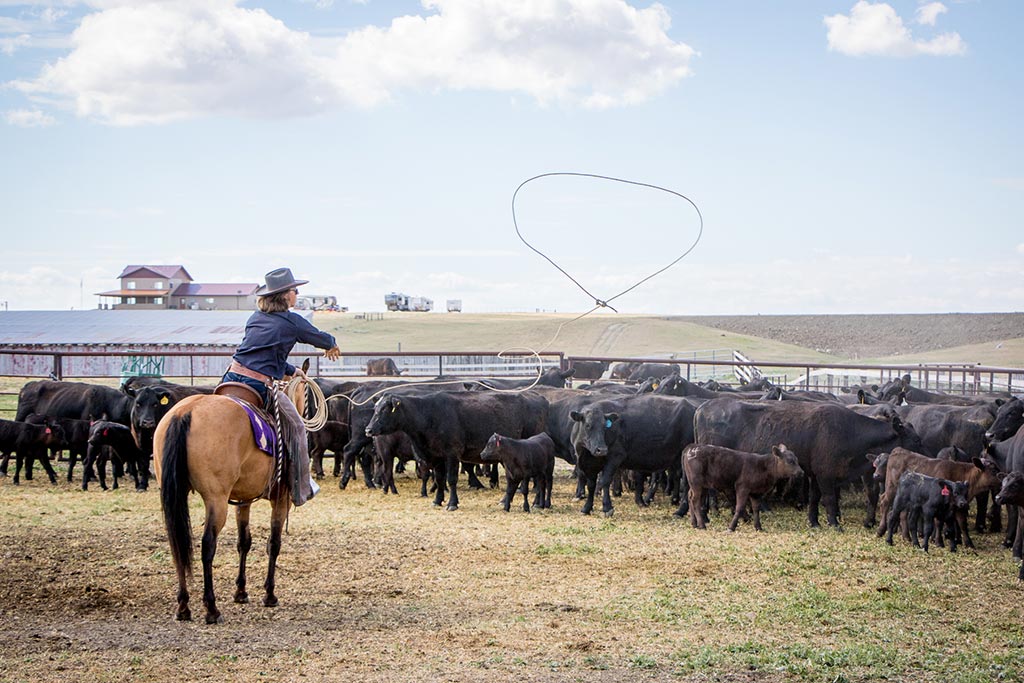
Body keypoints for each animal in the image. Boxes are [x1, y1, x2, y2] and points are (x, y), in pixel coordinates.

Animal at [149, 378, 305, 626]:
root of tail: (185, 413)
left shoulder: (243, 499)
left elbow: (244, 542)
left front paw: (241, 591)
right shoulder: (281, 500)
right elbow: (274, 543)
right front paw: (269, 594)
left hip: (173, 493)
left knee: (177, 544)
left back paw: (183, 606)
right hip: (217, 500)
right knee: (207, 545)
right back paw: (211, 608)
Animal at [364, 387, 548, 509]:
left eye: (385, 409)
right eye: (375, 408)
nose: (368, 430)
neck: (428, 415)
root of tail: (537, 397)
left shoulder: (452, 454)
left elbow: (451, 479)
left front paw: (452, 503)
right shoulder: (437, 457)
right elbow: (439, 479)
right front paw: (437, 501)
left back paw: (535, 502)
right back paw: (505, 500)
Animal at [696, 401, 929, 528]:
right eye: (917, 440)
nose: (928, 461)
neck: (850, 431)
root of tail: (703, 408)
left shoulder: (816, 475)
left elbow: (815, 498)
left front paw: (814, 521)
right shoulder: (826, 475)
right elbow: (829, 499)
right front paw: (834, 524)